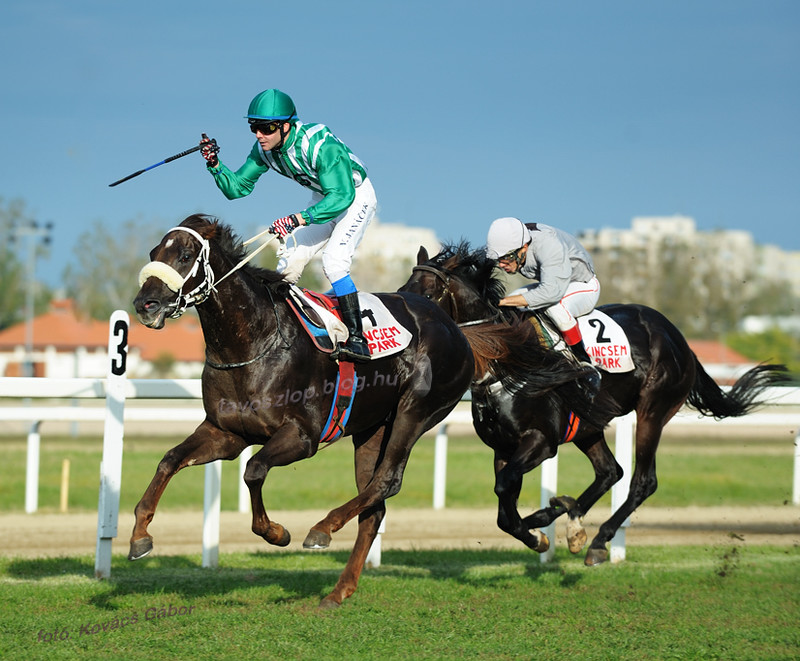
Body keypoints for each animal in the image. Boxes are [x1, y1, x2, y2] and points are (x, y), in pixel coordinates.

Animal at [130, 214, 476, 604]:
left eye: (186, 255)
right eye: (153, 253)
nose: (145, 304)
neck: (254, 341)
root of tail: (449, 322)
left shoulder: (303, 435)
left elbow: (254, 469)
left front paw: (276, 532)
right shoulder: (226, 433)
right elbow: (170, 460)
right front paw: (139, 536)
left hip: (415, 411)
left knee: (387, 480)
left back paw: (322, 528)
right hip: (372, 431)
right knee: (374, 506)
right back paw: (339, 590)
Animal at [400, 241, 788, 564]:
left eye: (429, 293)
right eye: (404, 291)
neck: (503, 362)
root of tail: (676, 336)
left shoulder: (541, 441)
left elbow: (505, 488)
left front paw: (542, 527)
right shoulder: (503, 447)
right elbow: (503, 509)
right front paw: (539, 533)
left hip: (653, 411)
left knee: (642, 481)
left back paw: (599, 540)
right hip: (589, 425)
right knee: (609, 471)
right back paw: (571, 521)